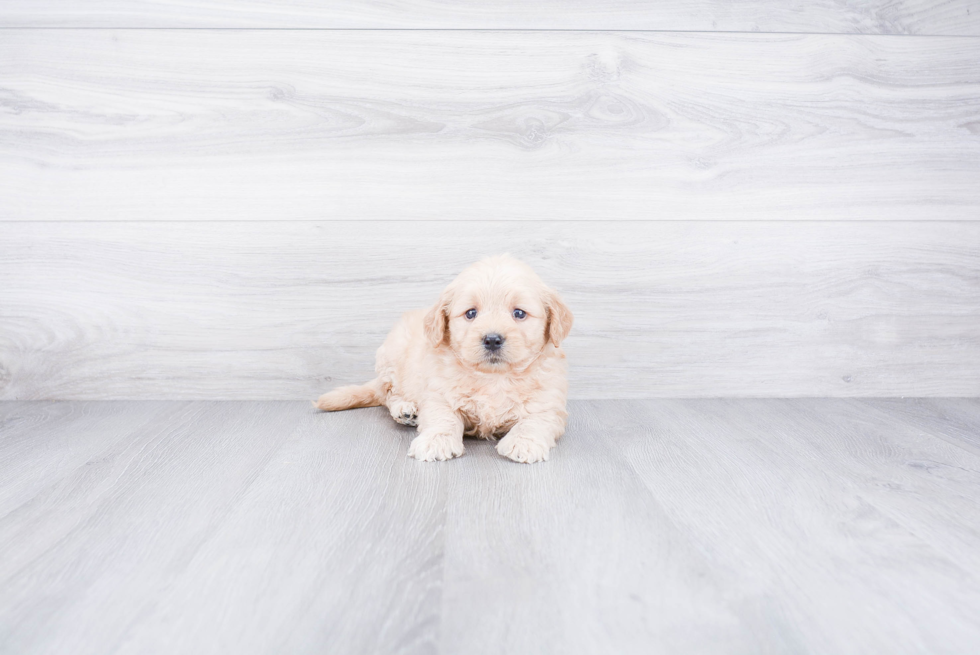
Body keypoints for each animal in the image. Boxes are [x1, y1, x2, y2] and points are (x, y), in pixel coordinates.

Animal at [314, 254, 576, 464]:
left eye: (519, 313)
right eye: (471, 313)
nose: (492, 339)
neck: (494, 377)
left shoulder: (549, 403)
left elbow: (534, 421)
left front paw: (523, 442)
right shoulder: (439, 394)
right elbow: (443, 418)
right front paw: (436, 441)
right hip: (391, 357)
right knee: (388, 393)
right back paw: (405, 409)